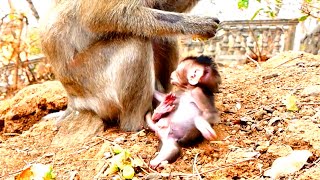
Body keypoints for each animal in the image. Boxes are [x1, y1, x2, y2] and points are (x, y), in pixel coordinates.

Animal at [40, 0, 220, 132]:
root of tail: (73, 100)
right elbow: (101, 16)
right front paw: (198, 24)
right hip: (90, 82)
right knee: (136, 41)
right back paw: (142, 122)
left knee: (161, 37)